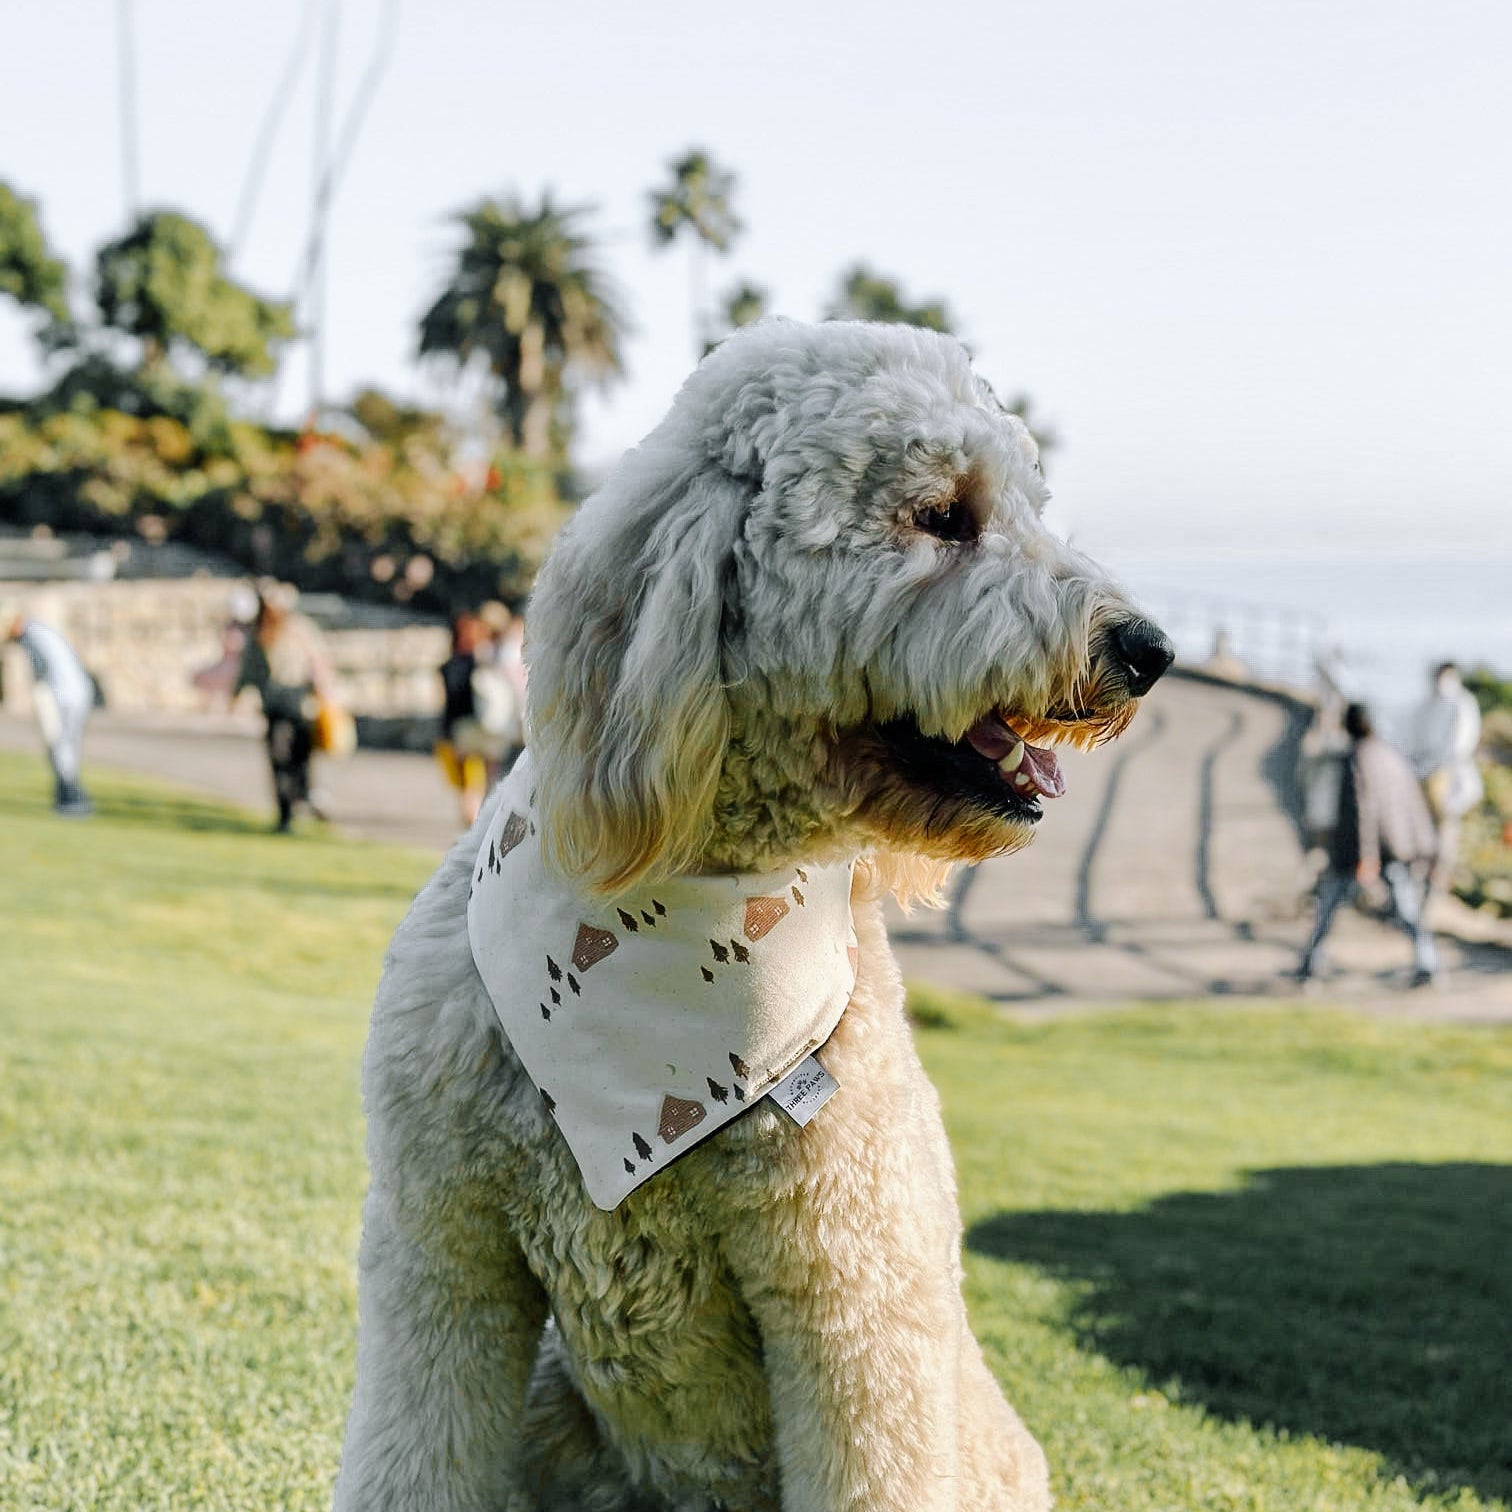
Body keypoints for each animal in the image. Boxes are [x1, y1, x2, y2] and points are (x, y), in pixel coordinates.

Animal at [337, 319, 1173, 1512]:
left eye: (1029, 507)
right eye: (943, 516)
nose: (1148, 649)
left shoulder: (852, 1299)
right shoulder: (443, 1252)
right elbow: (414, 1451)